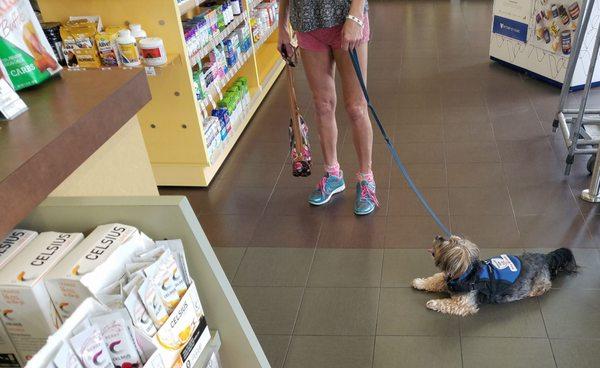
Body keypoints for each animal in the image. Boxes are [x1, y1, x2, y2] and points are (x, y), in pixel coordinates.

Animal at [412, 236, 576, 316]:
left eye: (447, 242)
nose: (438, 236)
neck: (466, 274)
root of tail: (545, 257)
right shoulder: (445, 280)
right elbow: (434, 280)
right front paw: (419, 282)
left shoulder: (464, 304)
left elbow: (448, 303)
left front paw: (433, 303)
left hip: (539, 283)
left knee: (545, 287)